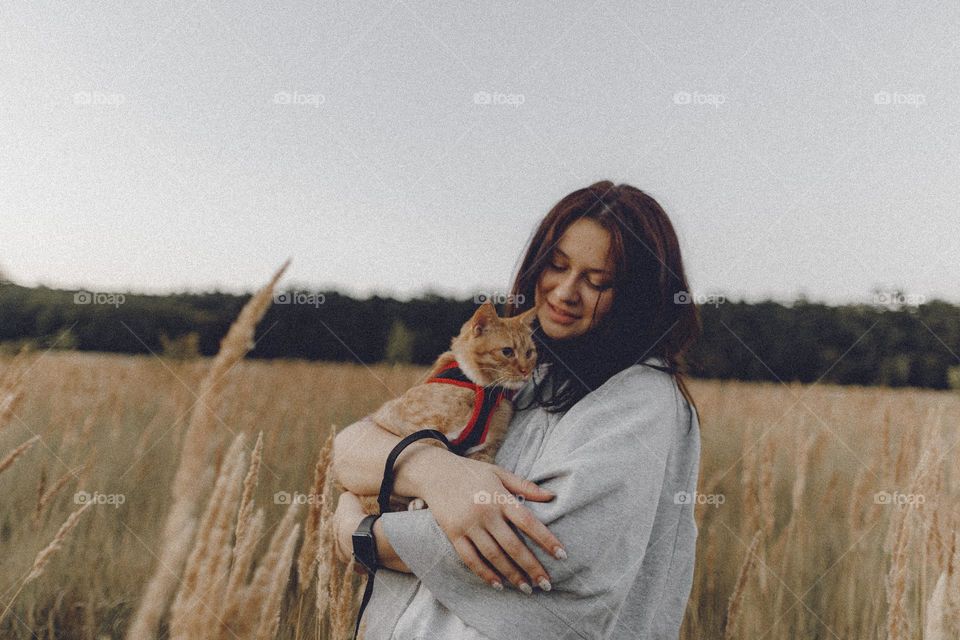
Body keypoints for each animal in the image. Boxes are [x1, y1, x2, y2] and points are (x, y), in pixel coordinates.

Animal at [360, 302, 540, 516]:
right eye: (507, 351)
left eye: (529, 353)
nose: (526, 371)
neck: (481, 389)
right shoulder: (412, 424)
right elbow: (439, 454)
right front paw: (421, 500)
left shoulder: (485, 448)